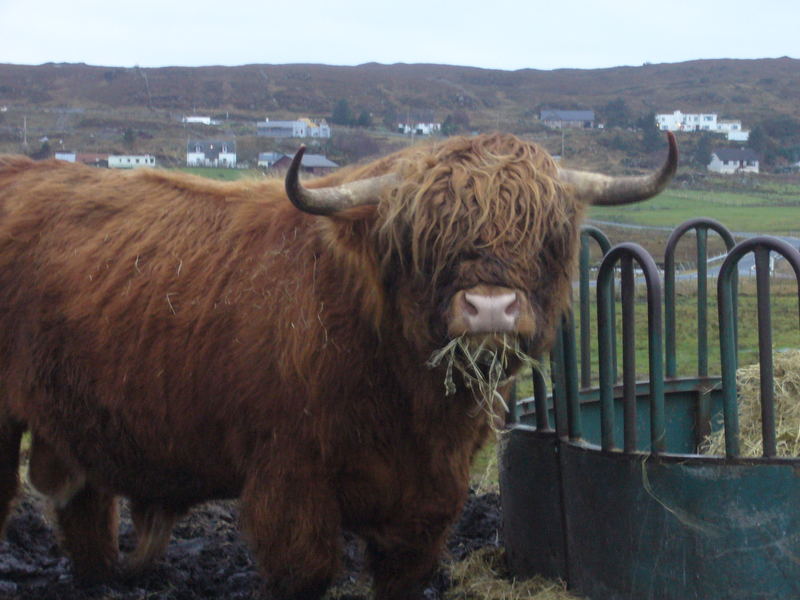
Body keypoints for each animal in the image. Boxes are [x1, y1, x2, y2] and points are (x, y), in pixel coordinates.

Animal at [0, 132, 676, 600]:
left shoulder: (430, 497)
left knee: (82, 505)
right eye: (423, 241)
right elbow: (304, 571)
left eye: (546, 237)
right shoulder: (289, 480)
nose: (490, 307)